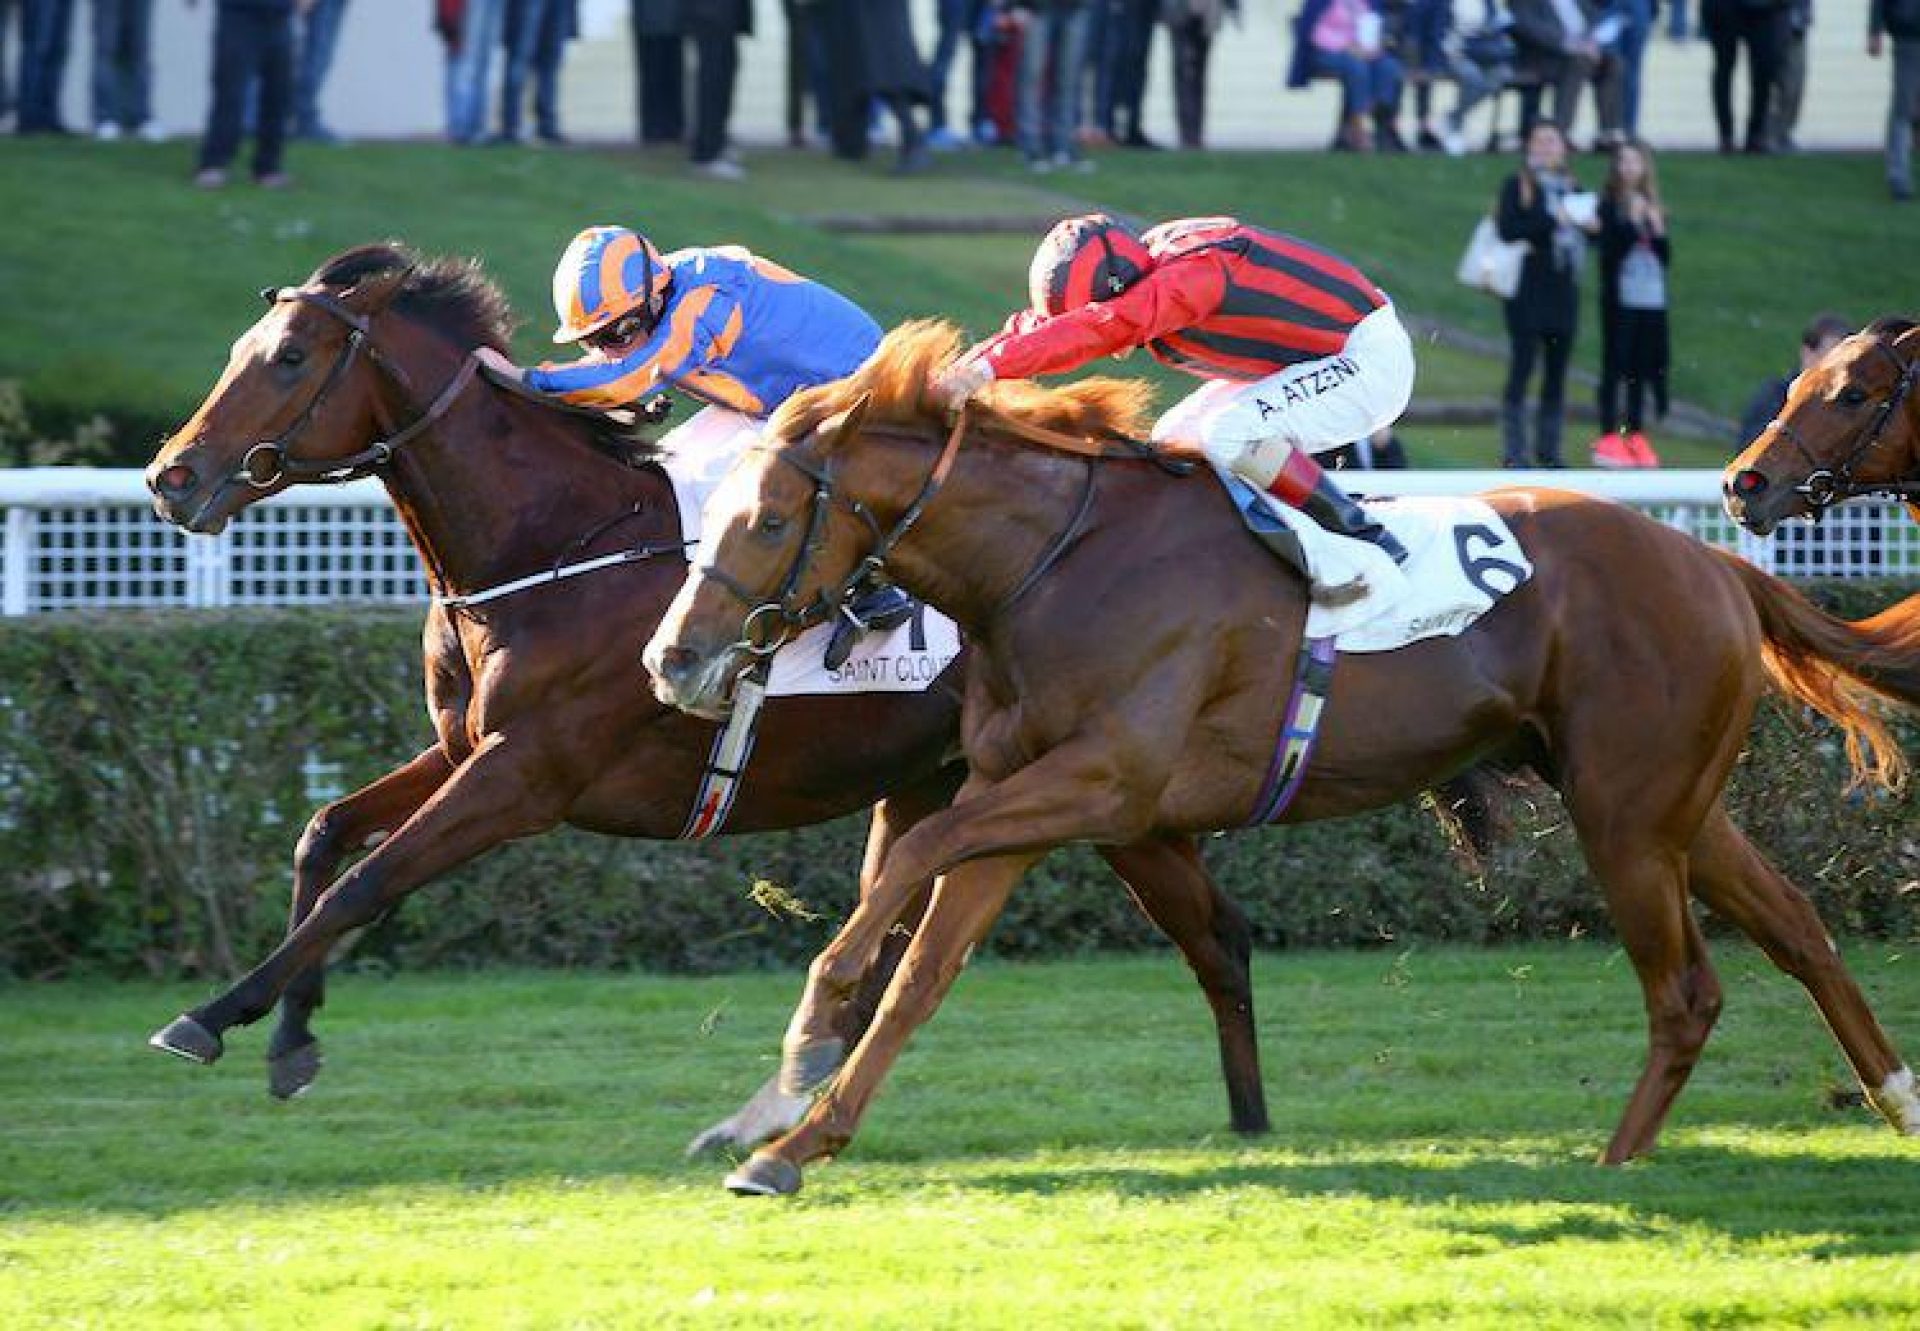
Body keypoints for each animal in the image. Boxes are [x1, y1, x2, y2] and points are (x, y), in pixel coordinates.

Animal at [139, 241, 1274, 1144]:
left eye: (288, 357)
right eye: (244, 349)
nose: (169, 477)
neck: (549, 544)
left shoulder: (524, 777)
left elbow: (367, 883)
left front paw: (208, 1015)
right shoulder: (467, 748)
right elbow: (325, 833)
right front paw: (290, 1036)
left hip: (1098, 784)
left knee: (1214, 931)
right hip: (956, 780)